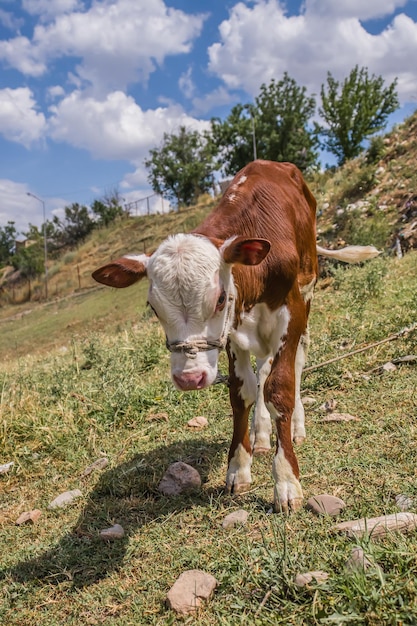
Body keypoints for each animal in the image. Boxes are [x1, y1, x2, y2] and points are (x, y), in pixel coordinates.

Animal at [93, 158, 376, 510]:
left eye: (219, 299)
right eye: (153, 307)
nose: (189, 378)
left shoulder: (291, 311)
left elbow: (279, 388)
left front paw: (286, 481)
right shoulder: (230, 334)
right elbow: (243, 394)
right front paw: (238, 469)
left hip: (308, 291)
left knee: (295, 363)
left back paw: (295, 426)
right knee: (262, 371)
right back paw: (262, 435)